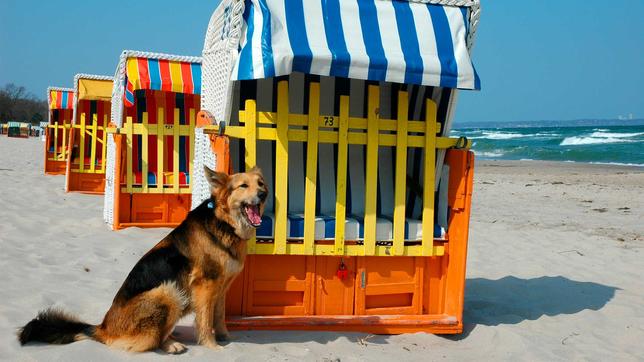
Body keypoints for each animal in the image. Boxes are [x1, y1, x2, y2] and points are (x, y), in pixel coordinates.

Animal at [18, 167, 266, 354]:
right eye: (243, 186)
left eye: (261, 183)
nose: (263, 194)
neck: (224, 223)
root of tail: (103, 327)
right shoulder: (204, 287)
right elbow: (205, 321)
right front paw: (212, 346)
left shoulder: (221, 288)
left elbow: (219, 316)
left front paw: (224, 337)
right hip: (168, 292)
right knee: (151, 341)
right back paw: (171, 344)